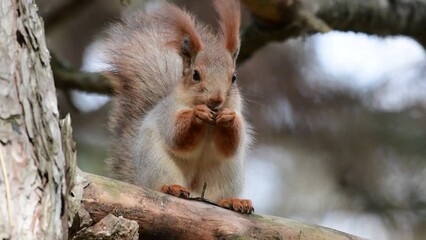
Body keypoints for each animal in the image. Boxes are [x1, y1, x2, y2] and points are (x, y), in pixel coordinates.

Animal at [96, 0, 253, 214]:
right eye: (195, 75)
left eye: (234, 77)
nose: (216, 99)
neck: (210, 125)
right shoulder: (168, 114)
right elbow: (177, 137)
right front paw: (197, 114)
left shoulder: (238, 118)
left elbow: (231, 144)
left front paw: (228, 118)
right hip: (158, 165)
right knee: (161, 185)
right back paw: (172, 187)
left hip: (227, 173)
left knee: (218, 196)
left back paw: (234, 201)